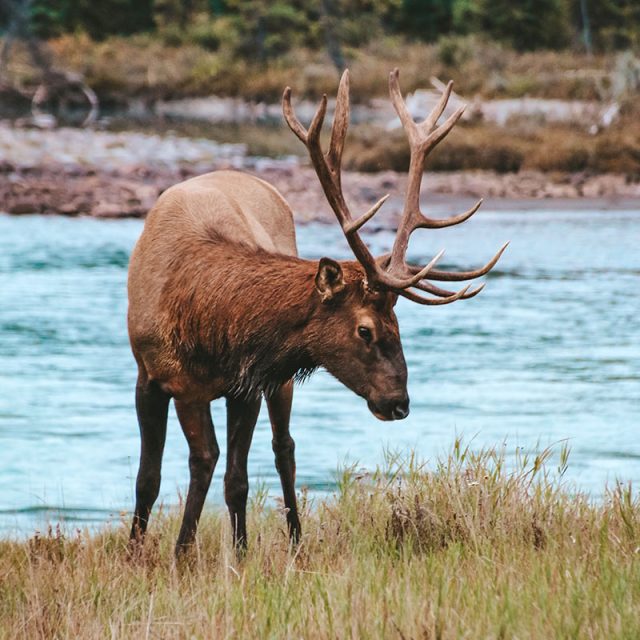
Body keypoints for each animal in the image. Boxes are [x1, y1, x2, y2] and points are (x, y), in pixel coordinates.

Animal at [125, 67, 504, 552]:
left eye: (398, 323)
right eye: (365, 330)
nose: (399, 403)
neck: (209, 327)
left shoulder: (246, 385)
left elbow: (233, 476)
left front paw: (225, 553)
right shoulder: (153, 375)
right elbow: (154, 476)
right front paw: (148, 553)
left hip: (279, 379)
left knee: (284, 449)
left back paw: (296, 539)